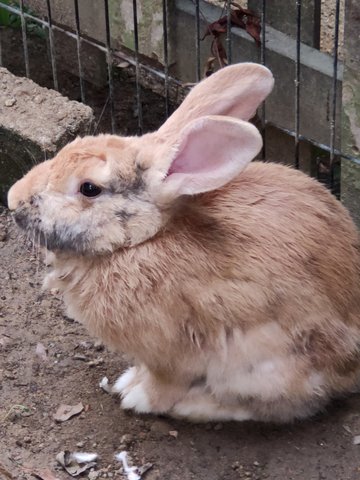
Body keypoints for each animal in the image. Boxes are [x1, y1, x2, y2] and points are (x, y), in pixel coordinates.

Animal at [6, 62, 360, 422]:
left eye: (89, 188)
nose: (12, 199)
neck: (141, 241)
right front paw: (130, 381)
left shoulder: (170, 356)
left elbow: (164, 384)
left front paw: (136, 395)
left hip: (265, 367)